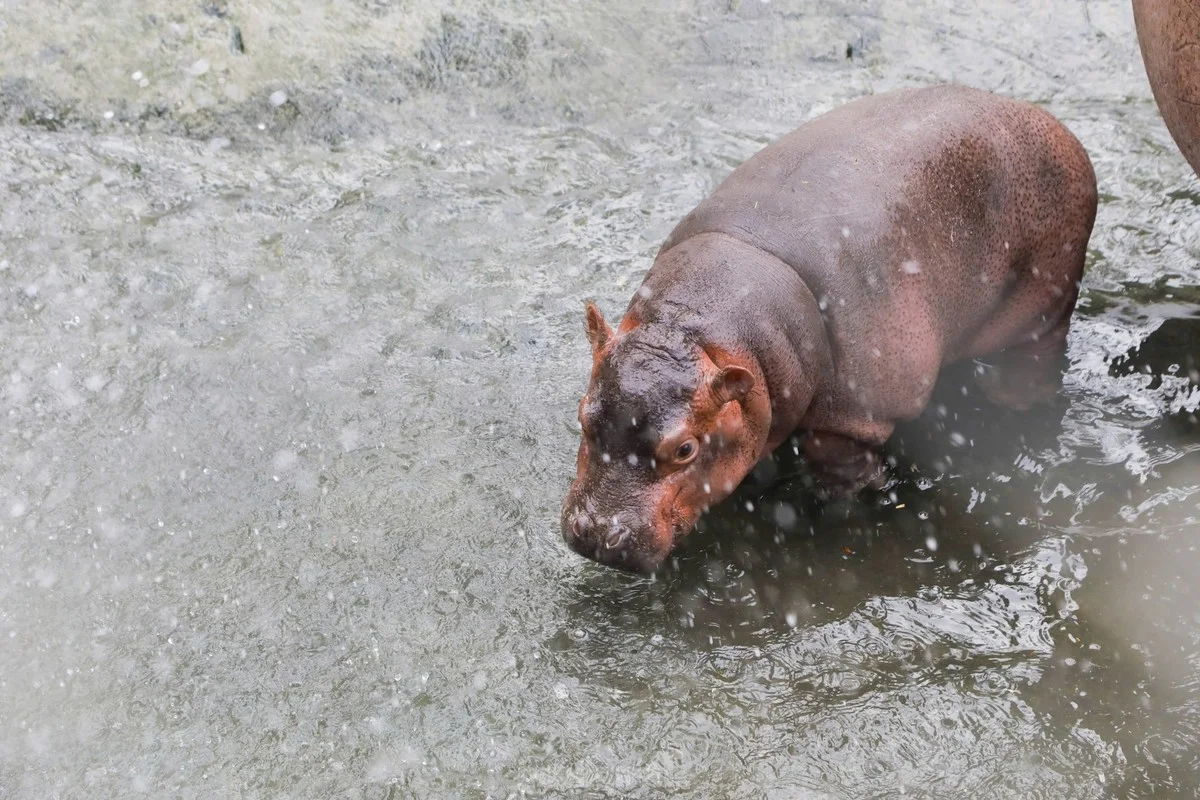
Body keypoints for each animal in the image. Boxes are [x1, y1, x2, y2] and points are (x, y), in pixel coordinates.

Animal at [561, 84, 1098, 573]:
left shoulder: (858, 407)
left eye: (685, 448)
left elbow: (832, 451)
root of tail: (1052, 122)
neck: (698, 331)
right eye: (583, 414)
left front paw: (867, 487)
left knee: (1033, 365)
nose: (598, 535)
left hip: (1044, 306)